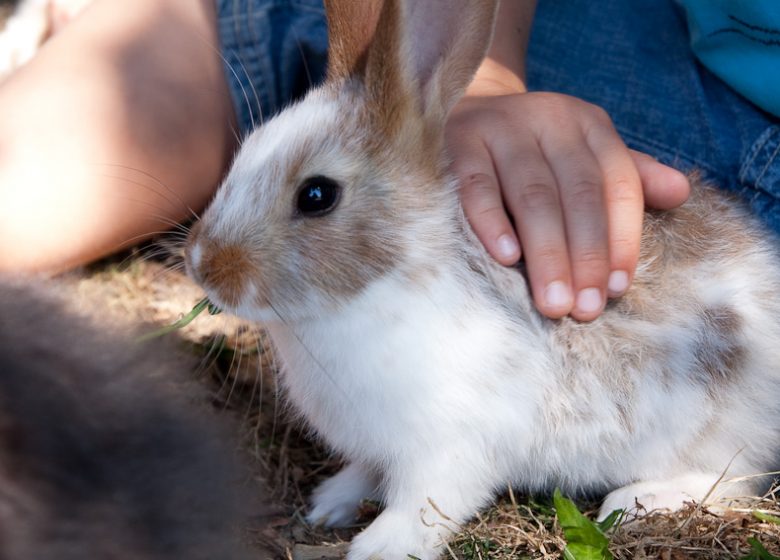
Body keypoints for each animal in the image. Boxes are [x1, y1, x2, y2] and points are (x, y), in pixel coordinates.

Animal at [187, 1, 780, 560]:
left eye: (316, 195)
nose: (203, 264)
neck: (382, 285)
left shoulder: (449, 449)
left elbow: (424, 503)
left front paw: (380, 546)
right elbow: (368, 471)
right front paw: (332, 501)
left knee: (738, 476)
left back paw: (638, 500)